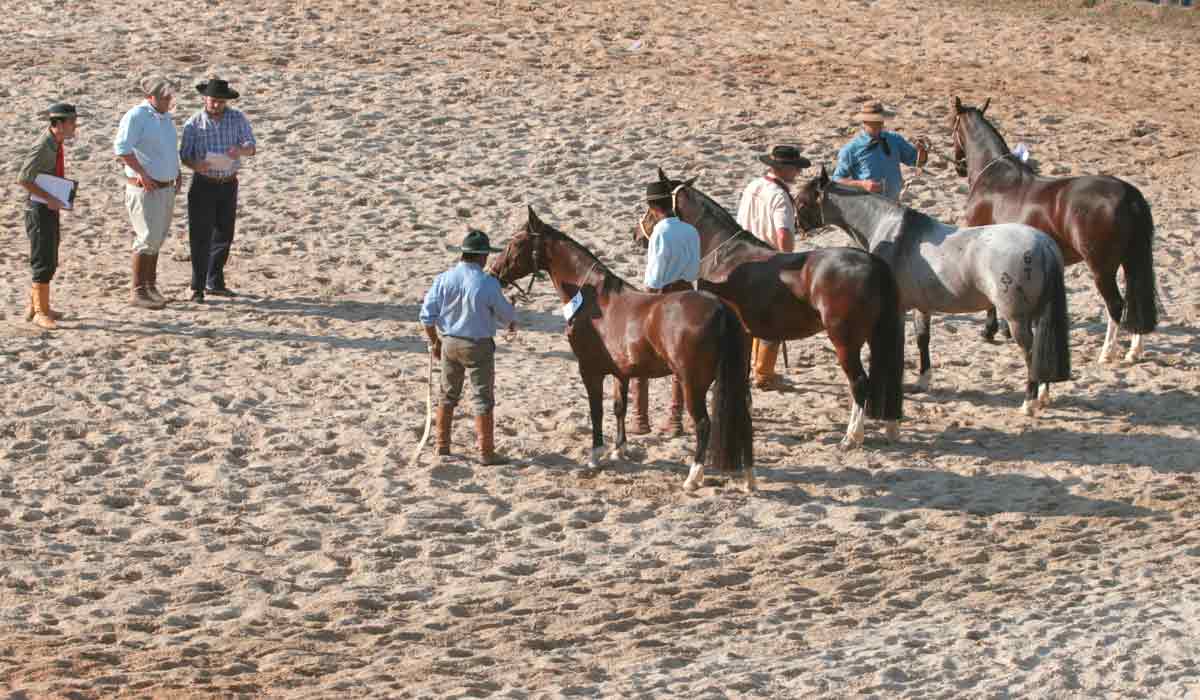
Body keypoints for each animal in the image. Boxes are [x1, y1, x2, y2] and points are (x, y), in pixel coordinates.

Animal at [487, 205, 748, 494]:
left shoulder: (590, 370)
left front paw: (595, 455)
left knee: (703, 424)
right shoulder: (621, 372)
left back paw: (693, 477)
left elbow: (596, 410)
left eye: (516, 242)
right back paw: (748, 478)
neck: (594, 300)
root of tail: (719, 306)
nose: (493, 272)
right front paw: (619, 450)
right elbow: (619, 407)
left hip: (692, 382)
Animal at [796, 165, 1070, 415]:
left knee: (1031, 352)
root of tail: (1043, 244)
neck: (894, 232)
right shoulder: (922, 306)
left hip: (1016, 319)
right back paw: (1043, 395)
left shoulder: (898, 310)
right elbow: (922, 339)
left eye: (801, 200)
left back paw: (1029, 403)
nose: (797, 226)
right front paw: (923, 381)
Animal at [950, 97, 1156, 362]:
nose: (959, 168)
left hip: (1102, 268)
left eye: (952, 126)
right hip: (1131, 260)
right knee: (1136, 300)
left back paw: (1106, 353)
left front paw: (989, 331)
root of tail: (1129, 195)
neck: (995, 180)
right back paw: (1133, 351)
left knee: (1117, 306)